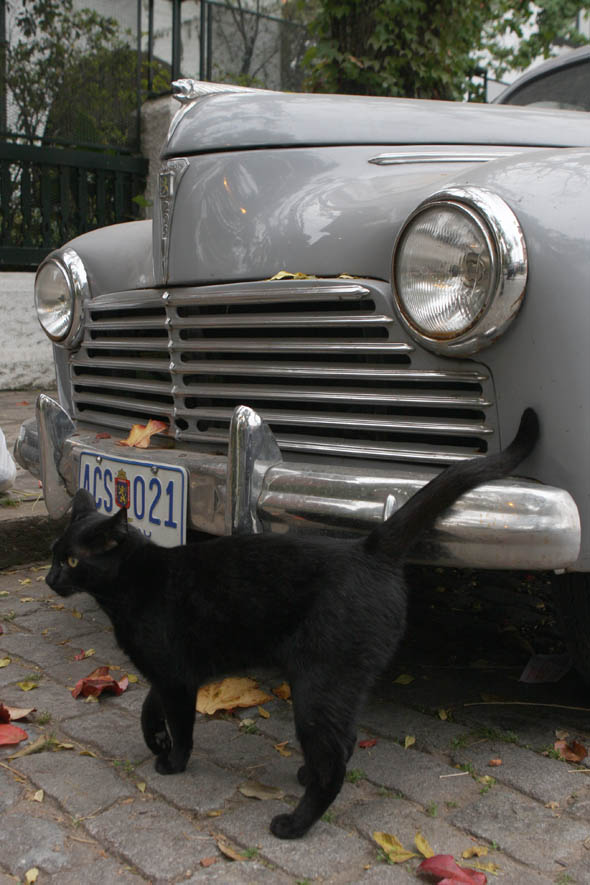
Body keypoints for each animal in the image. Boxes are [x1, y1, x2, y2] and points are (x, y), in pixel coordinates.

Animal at [47, 408, 540, 836]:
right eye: (54, 556)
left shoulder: (175, 678)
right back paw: (303, 776)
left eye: (71, 561)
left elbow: (182, 726)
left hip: (318, 685)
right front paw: (155, 740)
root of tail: (368, 548)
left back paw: (294, 824)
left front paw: (173, 762)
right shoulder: (171, 673)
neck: (133, 586)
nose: (51, 579)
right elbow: (150, 708)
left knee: (334, 763)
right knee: (343, 742)